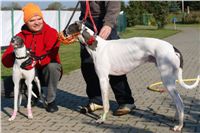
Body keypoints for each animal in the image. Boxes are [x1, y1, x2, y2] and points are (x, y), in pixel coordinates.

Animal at [63, 21, 198, 131]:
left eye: (69, 27)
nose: (62, 32)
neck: (96, 45)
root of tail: (172, 47)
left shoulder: (103, 79)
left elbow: (105, 103)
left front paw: (102, 119)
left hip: (166, 79)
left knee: (180, 102)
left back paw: (179, 126)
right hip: (170, 79)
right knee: (177, 100)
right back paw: (176, 118)